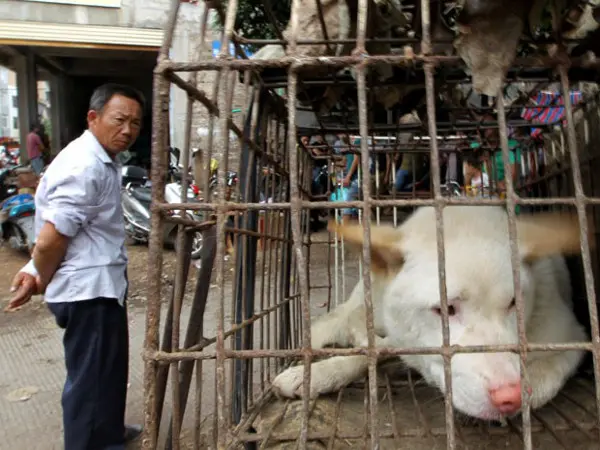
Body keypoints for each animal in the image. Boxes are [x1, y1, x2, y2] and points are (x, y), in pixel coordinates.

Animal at [272, 206, 592, 424]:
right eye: (445, 309)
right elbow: (370, 352)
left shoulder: (570, 337)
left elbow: (542, 379)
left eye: (515, 302)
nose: (509, 396)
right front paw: (317, 374)